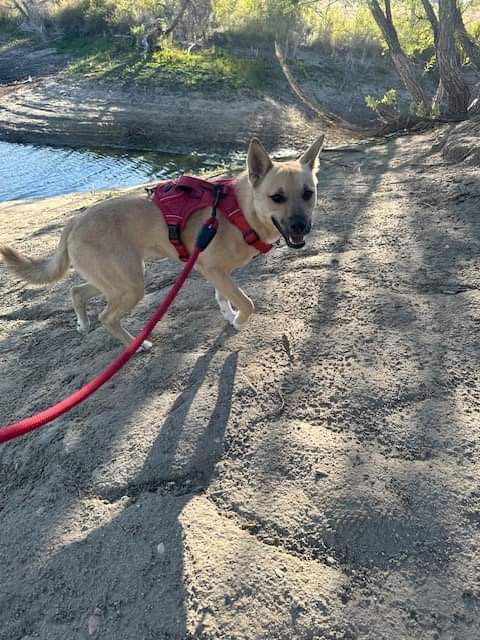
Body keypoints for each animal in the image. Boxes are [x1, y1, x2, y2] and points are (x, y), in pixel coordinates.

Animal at [0, 134, 326, 350]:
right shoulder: (214, 270)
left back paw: (83, 323)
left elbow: (224, 297)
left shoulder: (215, 272)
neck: (239, 211)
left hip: (116, 281)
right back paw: (137, 345)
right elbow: (248, 303)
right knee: (106, 317)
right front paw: (237, 322)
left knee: (76, 291)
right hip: (130, 285)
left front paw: (227, 315)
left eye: (308, 193)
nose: (301, 226)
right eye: (277, 197)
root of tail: (74, 222)